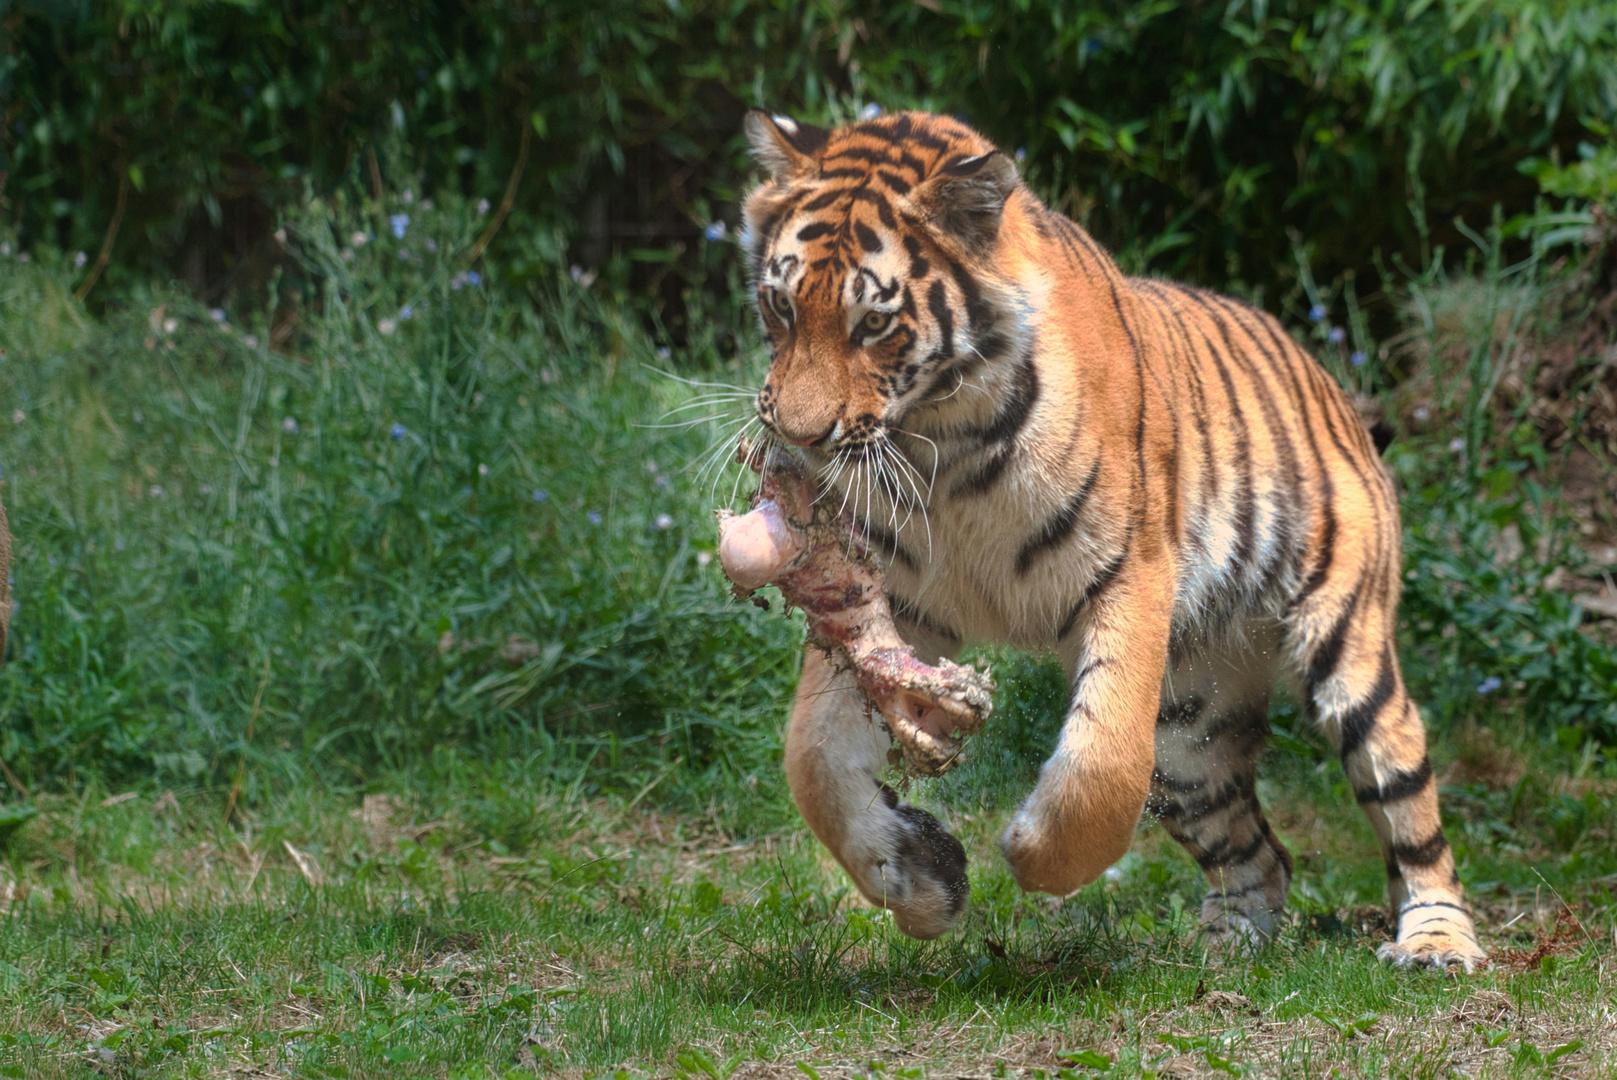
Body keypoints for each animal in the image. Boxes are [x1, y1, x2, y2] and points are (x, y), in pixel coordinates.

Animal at [740, 107, 1481, 970]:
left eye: (875, 323)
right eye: (780, 307)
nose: (798, 435)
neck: (940, 446)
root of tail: (1328, 381)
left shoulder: (1129, 573)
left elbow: (1104, 764)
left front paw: (1028, 854)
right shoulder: (892, 597)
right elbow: (813, 759)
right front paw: (922, 878)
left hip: (1345, 651)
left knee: (1407, 803)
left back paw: (1435, 942)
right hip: (1193, 726)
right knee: (1261, 852)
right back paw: (1225, 949)